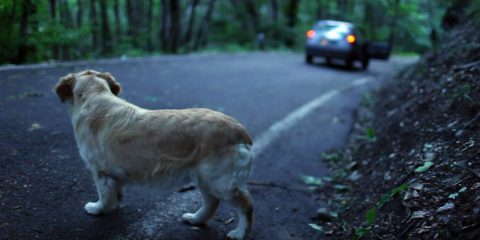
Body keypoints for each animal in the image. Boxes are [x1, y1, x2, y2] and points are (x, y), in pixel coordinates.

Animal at [54, 69, 253, 240]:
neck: (94, 93)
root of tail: (241, 132)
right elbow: (115, 194)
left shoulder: (100, 171)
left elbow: (104, 195)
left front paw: (97, 209)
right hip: (203, 177)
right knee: (211, 202)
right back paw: (196, 219)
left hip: (220, 181)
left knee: (245, 205)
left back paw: (239, 233)